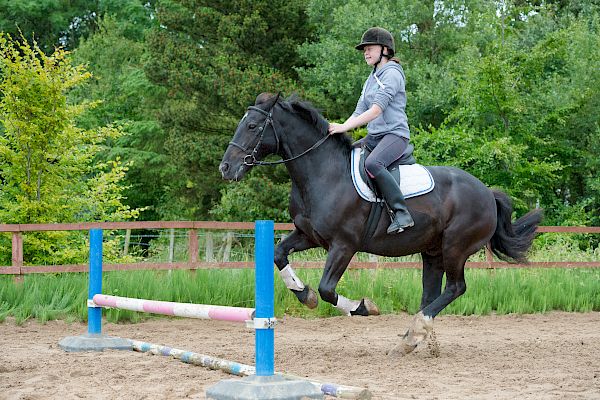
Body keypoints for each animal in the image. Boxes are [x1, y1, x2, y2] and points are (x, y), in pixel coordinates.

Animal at [220, 94, 544, 356]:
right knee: (431, 294)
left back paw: (414, 334)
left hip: (455, 248)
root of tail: (487, 192)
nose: (226, 168)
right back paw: (411, 338)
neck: (322, 173)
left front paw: (363, 307)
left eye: (252, 126)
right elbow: (278, 255)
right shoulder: (308, 235)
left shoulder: (344, 245)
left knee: (455, 288)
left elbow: (327, 289)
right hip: (432, 252)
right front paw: (303, 294)